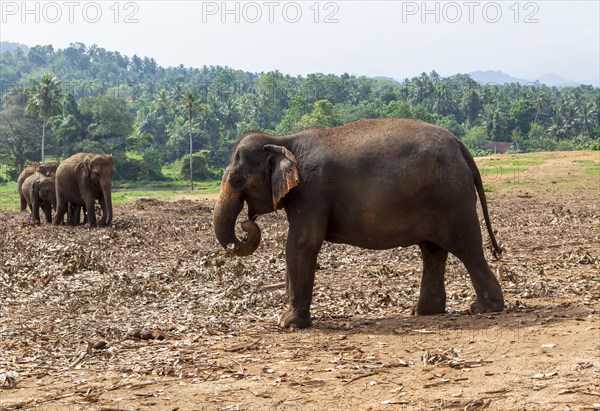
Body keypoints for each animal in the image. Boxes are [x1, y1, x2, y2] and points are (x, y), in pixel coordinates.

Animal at [213, 118, 504, 328]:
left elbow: (301, 244)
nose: (246, 224)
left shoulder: (313, 192)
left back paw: (484, 308)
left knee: (467, 248)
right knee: (432, 251)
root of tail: (461, 147)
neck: (283, 140)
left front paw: (289, 324)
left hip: (452, 200)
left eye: (238, 180)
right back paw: (423, 312)